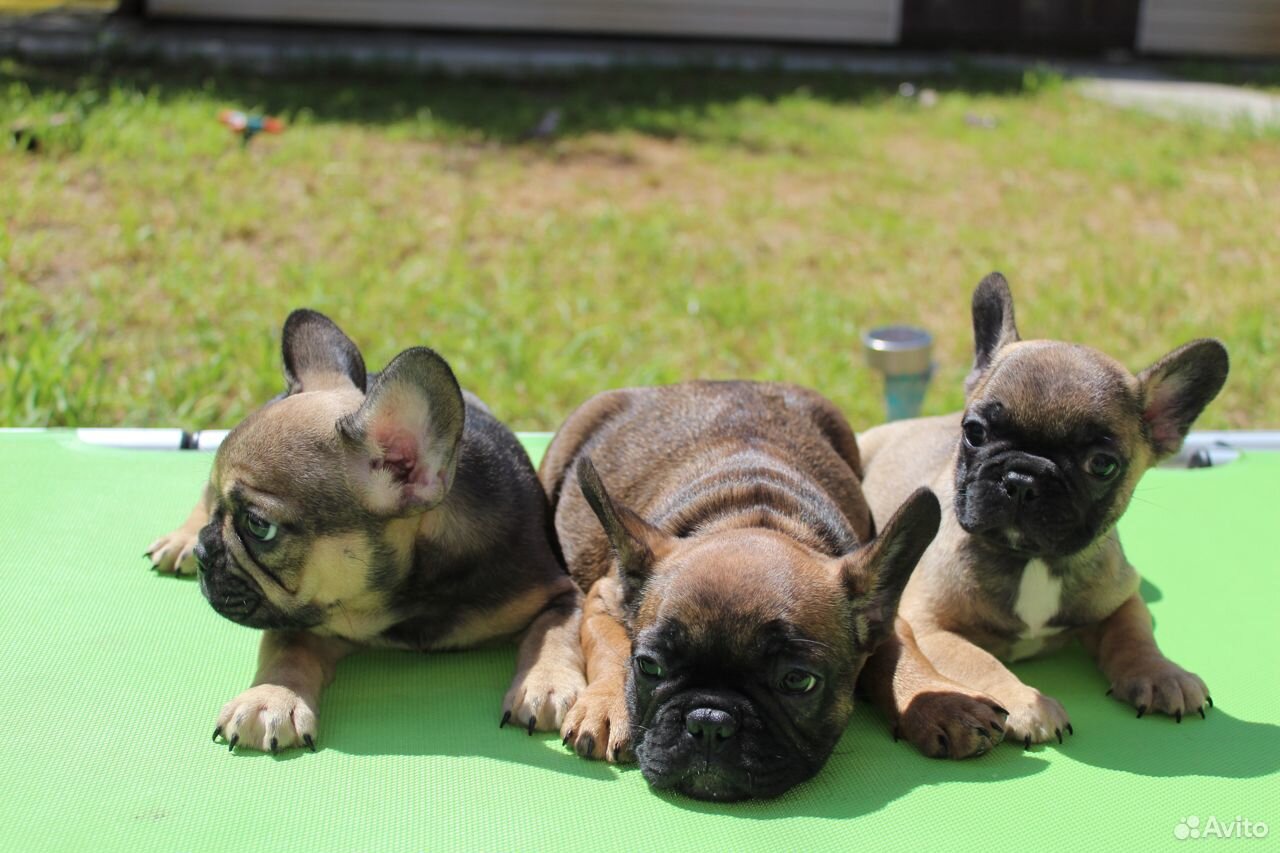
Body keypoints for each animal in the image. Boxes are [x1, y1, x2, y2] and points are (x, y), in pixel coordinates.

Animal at [148, 308, 586, 747]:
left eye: (259, 526)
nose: (205, 554)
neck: (409, 593)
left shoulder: (559, 593)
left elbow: (553, 632)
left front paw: (545, 683)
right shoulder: (298, 620)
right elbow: (286, 645)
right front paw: (270, 698)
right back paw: (181, 540)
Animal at [535, 379, 957, 799]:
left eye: (797, 681)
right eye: (649, 667)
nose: (708, 721)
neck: (752, 516)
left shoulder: (884, 612)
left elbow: (899, 646)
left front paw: (935, 700)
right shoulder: (605, 596)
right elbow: (608, 645)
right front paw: (606, 706)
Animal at [860, 270, 1228, 753]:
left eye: (1102, 464)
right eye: (974, 432)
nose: (1022, 478)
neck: (1032, 559)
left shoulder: (1120, 596)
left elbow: (1134, 634)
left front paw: (1161, 673)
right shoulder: (930, 625)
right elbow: (979, 660)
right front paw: (1024, 703)